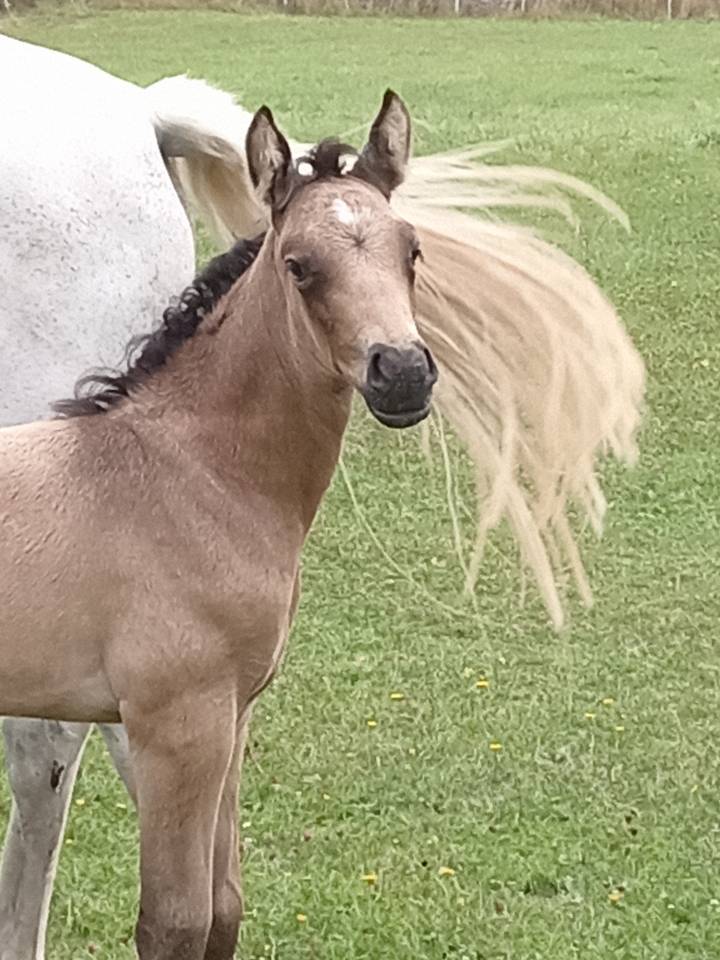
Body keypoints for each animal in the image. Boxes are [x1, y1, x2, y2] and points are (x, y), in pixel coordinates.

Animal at [0, 36, 645, 960]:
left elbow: (219, 908)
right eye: (298, 265)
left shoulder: (226, 721)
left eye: (412, 251)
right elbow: (174, 921)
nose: (402, 373)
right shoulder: (177, 724)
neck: (175, 473)